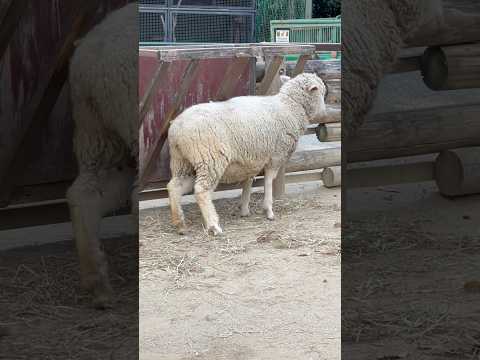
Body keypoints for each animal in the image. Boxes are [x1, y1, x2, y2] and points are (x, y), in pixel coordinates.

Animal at [165, 73, 326, 236]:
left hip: (182, 162)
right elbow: (268, 181)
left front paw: (244, 209)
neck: (289, 106)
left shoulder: (251, 158)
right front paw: (268, 210)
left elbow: (248, 182)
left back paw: (180, 224)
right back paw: (213, 225)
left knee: (174, 187)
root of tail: (177, 129)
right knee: (201, 190)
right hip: (210, 159)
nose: (325, 111)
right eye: (321, 92)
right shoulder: (276, 156)